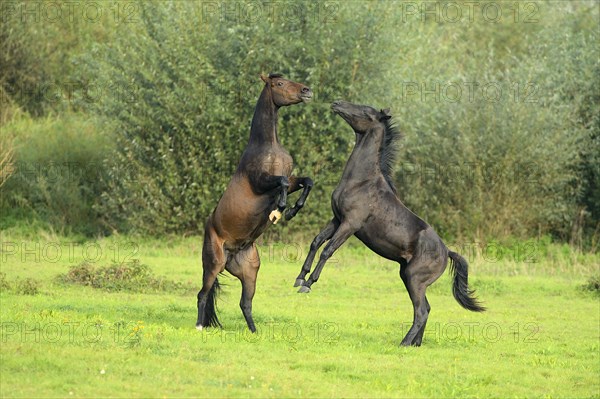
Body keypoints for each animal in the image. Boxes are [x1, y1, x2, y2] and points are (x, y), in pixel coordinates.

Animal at [197, 73, 314, 332]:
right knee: (202, 294)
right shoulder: (261, 183)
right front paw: (279, 209)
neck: (269, 146)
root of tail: (230, 253)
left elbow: (306, 181)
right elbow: (281, 183)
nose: (307, 91)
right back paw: (199, 326)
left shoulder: (292, 178)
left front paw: (292, 210)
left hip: (250, 271)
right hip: (213, 264)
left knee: (245, 303)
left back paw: (254, 333)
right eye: (279, 83)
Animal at [294, 101, 482, 346]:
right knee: (426, 308)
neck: (361, 181)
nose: (336, 103)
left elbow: (328, 250)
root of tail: (447, 252)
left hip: (414, 279)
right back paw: (415, 344)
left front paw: (308, 284)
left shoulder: (351, 224)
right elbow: (316, 242)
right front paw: (299, 278)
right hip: (409, 277)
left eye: (365, 111)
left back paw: (404, 343)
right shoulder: (337, 219)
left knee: (421, 311)